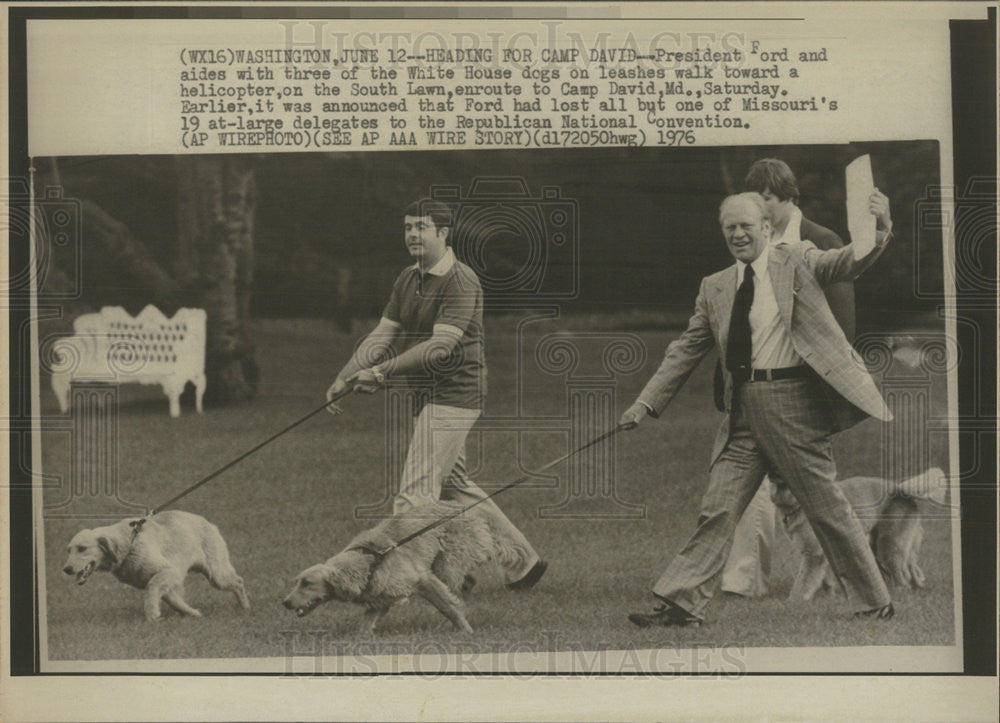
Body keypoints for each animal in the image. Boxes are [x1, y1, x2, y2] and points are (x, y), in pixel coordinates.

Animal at [62, 510, 250, 624]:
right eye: (69, 550)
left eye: (82, 548)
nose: (66, 569)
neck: (129, 542)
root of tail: (210, 524)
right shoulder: (168, 584)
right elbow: (176, 601)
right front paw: (192, 613)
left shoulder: (168, 572)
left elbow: (151, 592)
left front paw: (152, 616)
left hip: (217, 575)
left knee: (239, 582)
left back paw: (245, 606)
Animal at [284, 504, 524, 632]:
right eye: (297, 581)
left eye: (307, 583)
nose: (284, 602)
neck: (369, 561)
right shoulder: (381, 598)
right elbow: (365, 625)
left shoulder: (424, 580)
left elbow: (447, 608)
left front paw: (465, 630)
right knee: (468, 581)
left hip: (448, 563)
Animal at [780, 466, 944, 604]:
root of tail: (898, 488)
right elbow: (824, 579)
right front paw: (830, 597)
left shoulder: (814, 553)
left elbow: (804, 581)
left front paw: (793, 602)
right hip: (889, 546)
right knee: (912, 568)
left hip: (889, 546)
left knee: (902, 576)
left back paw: (898, 593)